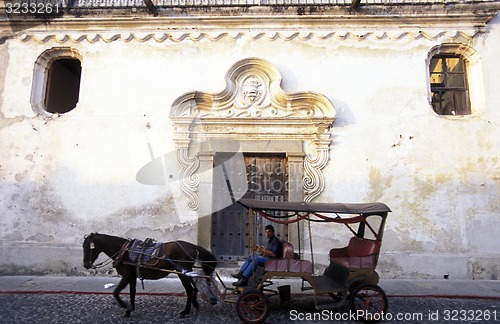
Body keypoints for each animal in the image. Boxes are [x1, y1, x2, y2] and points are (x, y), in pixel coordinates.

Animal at [83, 233, 218, 318]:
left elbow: (116, 292)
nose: (85, 265)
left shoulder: (127, 275)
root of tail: (192, 246)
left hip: (182, 273)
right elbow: (132, 292)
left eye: (88, 247)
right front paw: (129, 310)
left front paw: (124, 306)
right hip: (185, 272)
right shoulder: (132, 276)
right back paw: (195, 304)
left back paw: (185, 312)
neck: (124, 251)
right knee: (194, 287)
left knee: (189, 290)